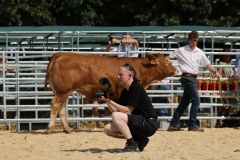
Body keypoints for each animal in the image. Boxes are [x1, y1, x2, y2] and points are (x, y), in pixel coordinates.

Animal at [44, 52, 178, 133]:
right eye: (167, 62)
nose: (176, 70)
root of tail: (62, 54)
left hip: (63, 91)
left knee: (61, 108)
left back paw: (67, 129)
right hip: (63, 91)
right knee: (55, 105)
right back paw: (50, 128)